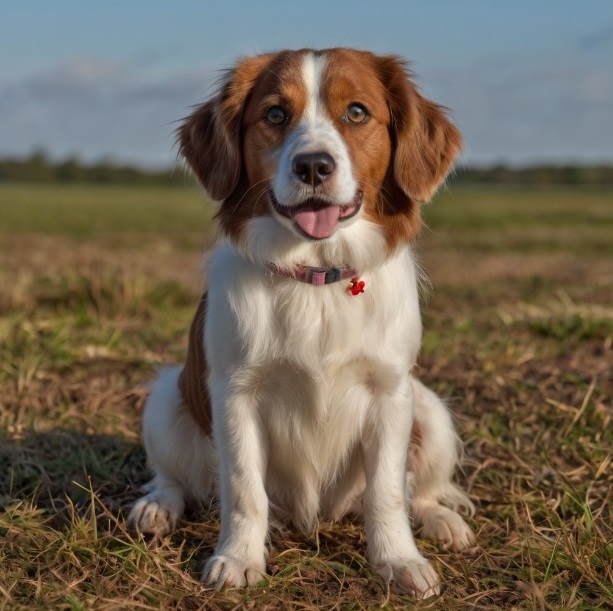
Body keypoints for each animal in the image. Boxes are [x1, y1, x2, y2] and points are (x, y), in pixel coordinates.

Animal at [128, 49, 474, 604]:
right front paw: (238, 559)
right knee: (173, 477)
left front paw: (398, 561)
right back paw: (157, 508)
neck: (317, 281)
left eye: (356, 112)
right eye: (274, 114)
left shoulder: (390, 392)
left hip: (430, 408)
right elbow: (244, 488)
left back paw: (443, 521)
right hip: (165, 398)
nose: (313, 165)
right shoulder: (236, 394)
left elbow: (386, 492)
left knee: (418, 490)